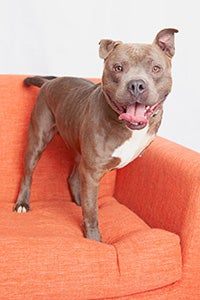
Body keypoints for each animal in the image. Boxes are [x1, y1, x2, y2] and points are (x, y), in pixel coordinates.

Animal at [15, 28, 178, 241]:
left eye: (156, 68)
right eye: (118, 68)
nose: (136, 85)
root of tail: (48, 82)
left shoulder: (90, 167)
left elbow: (89, 203)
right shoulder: (92, 172)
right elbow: (92, 213)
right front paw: (94, 239)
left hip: (77, 146)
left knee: (74, 178)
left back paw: (78, 201)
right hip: (38, 139)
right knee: (28, 172)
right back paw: (22, 203)